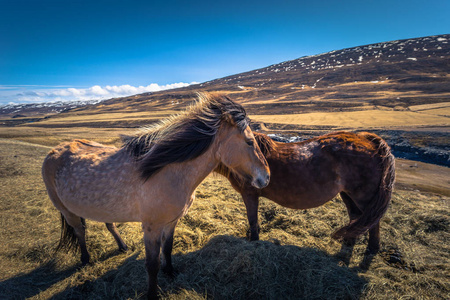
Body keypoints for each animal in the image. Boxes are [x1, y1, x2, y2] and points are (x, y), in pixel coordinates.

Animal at [41, 93, 268, 298]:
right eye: (249, 142)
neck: (165, 172)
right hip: (66, 210)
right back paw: (85, 259)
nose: (266, 177)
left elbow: (167, 249)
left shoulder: (171, 222)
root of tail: (53, 152)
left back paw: (122, 247)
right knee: (79, 231)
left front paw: (170, 272)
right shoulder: (151, 227)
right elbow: (152, 264)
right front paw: (152, 293)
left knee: (109, 224)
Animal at [214, 131, 394, 253]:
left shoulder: (250, 194)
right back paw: (349, 242)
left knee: (373, 222)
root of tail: (367, 139)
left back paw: (371, 249)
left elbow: (252, 220)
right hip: (347, 194)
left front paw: (254, 241)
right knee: (356, 217)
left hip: (363, 197)